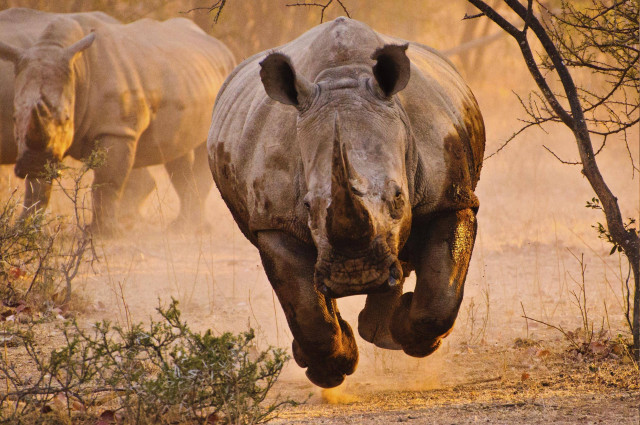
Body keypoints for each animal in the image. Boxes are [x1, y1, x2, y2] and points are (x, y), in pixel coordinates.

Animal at [0, 8, 236, 233]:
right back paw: (183, 227)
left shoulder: (117, 129)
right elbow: (37, 188)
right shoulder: (42, 146)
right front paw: (23, 230)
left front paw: (102, 233)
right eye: (14, 118)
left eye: (66, 117)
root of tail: (221, 46)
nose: (32, 163)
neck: (77, 70)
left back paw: (191, 229)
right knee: (177, 152)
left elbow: (107, 181)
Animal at [208, 18, 485, 388]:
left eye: (399, 198)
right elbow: (307, 311)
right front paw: (330, 370)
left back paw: (382, 332)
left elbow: (440, 297)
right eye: (307, 206)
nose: (356, 275)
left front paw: (413, 337)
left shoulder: (451, 197)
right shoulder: (274, 221)